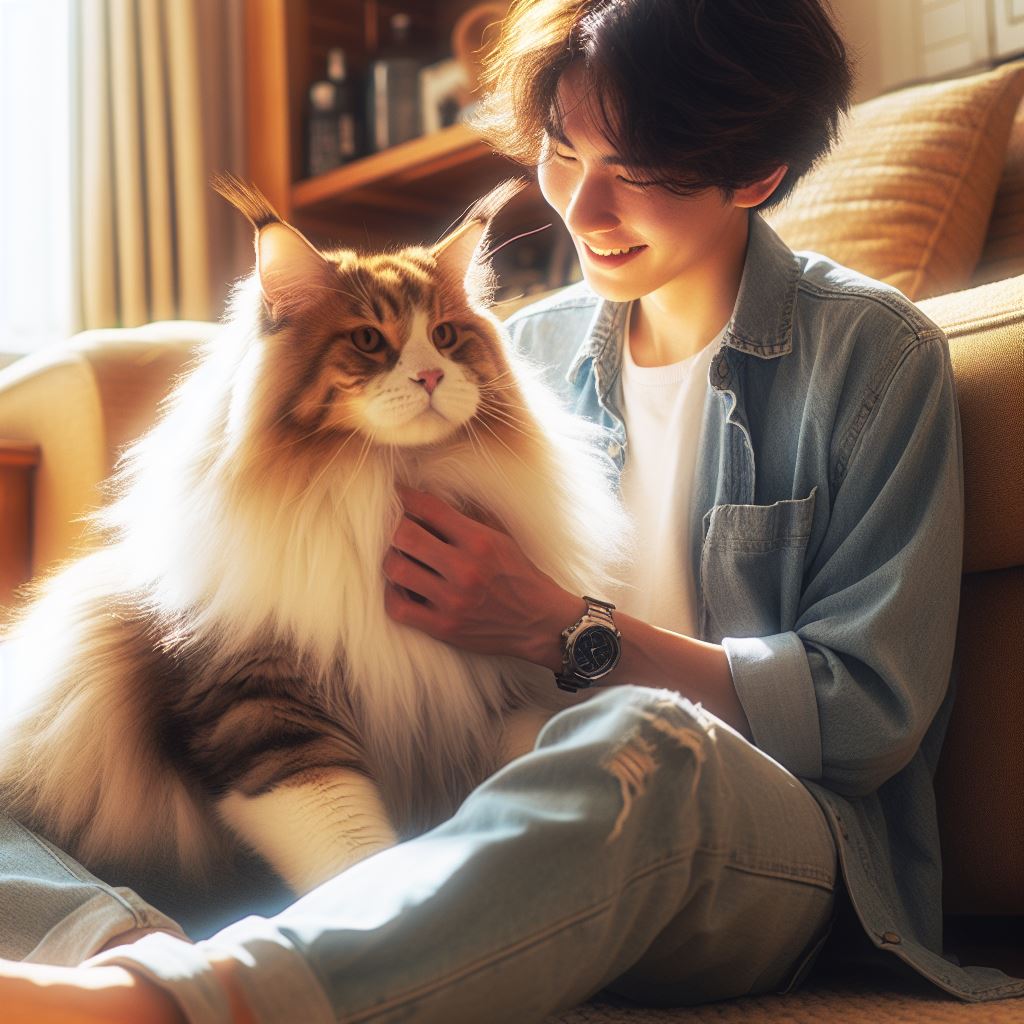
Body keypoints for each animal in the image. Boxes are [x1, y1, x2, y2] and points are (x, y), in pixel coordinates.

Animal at [0, 178, 630, 913]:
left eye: (445, 336)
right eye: (368, 339)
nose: (431, 378)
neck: (382, 486)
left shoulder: (489, 697)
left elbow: (540, 751)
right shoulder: (261, 711)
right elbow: (349, 850)